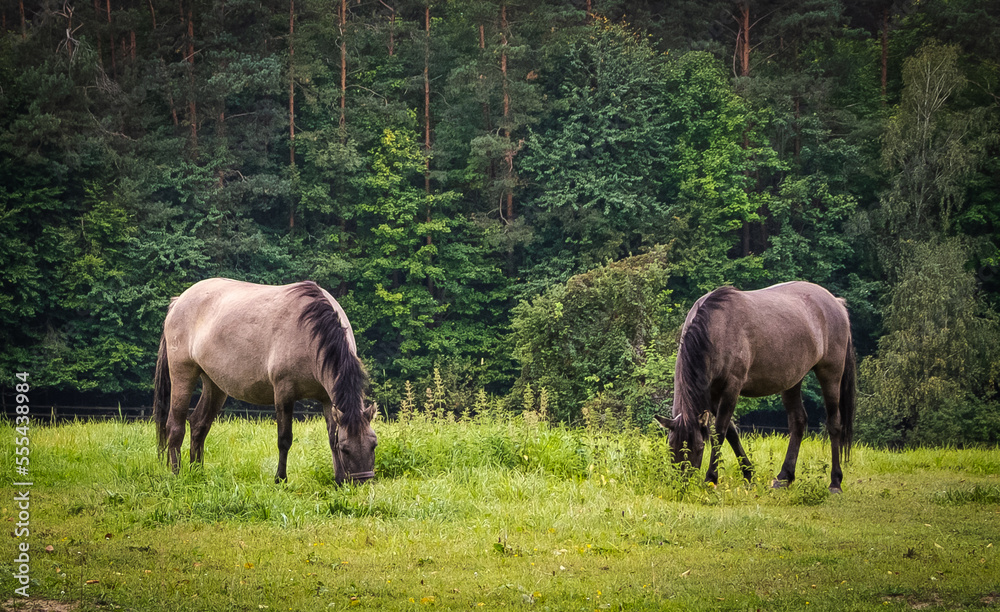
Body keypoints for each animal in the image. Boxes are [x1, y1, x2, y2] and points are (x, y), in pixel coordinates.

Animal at [152, 278, 377, 484]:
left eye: (374, 444)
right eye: (346, 449)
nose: (363, 483)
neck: (310, 332)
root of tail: (179, 301)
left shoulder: (328, 399)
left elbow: (331, 437)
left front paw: (338, 479)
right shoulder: (284, 394)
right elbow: (284, 439)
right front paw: (280, 479)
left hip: (214, 384)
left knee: (199, 424)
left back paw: (198, 473)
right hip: (183, 374)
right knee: (175, 426)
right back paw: (177, 475)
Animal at [654, 281, 856, 493]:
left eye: (700, 447)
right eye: (671, 447)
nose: (682, 484)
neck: (716, 327)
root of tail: (836, 303)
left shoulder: (731, 387)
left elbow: (720, 431)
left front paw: (711, 478)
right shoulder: (713, 393)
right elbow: (731, 432)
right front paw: (748, 474)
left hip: (830, 374)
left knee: (834, 423)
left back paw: (835, 482)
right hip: (792, 380)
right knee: (798, 422)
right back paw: (784, 477)